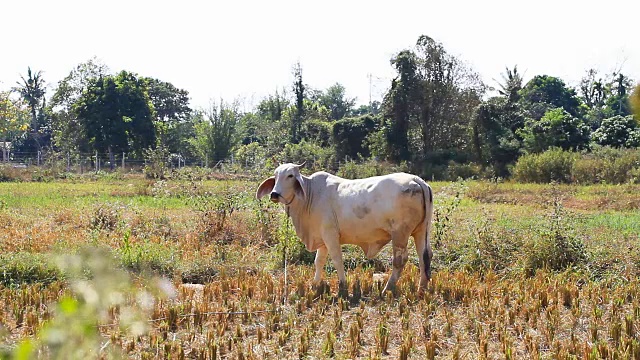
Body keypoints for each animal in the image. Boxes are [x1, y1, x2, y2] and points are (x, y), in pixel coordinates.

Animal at [256, 163, 436, 296]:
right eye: (276, 176)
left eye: (290, 175)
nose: (274, 194)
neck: (311, 194)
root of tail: (417, 180)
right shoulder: (322, 238)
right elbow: (319, 261)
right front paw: (314, 285)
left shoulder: (330, 235)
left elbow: (337, 259)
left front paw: (342, 287)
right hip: (421, 231)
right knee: (424, 257)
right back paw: (422, 289)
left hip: (400, 234)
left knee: (400, 260)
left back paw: (387, 289)